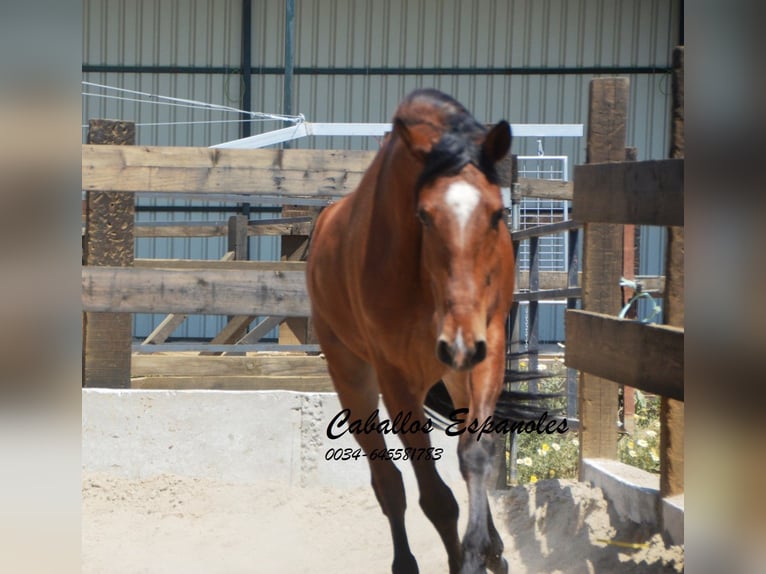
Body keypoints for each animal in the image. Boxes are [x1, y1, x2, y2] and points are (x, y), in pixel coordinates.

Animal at [306, 90, 528, 574]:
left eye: (498, 213)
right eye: (424, 216)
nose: (459, 342)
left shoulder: (487, 350)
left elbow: (476, 455)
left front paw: (482, 550)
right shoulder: (396, 379)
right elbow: (436, 498)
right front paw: (464, 560)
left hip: (455, 377)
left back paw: (493, 547)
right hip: (354, 380)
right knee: (388, 482)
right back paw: (406, 563)